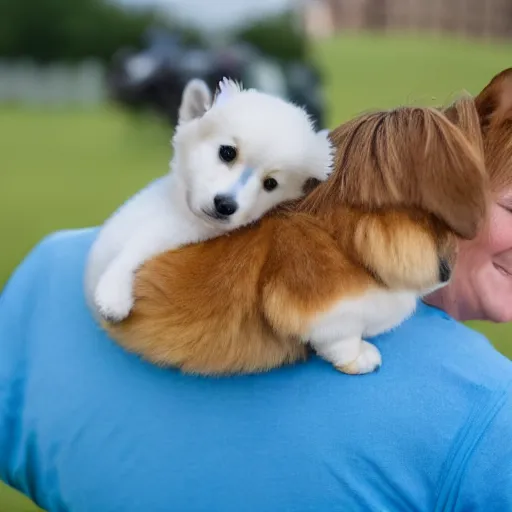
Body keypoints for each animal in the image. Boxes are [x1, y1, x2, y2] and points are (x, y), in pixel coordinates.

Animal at [84, 77, 332, 322]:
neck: (179, 213)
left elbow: (136, 249)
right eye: (227, 152)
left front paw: (112, 295)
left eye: (271, 183)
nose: (225, 205)